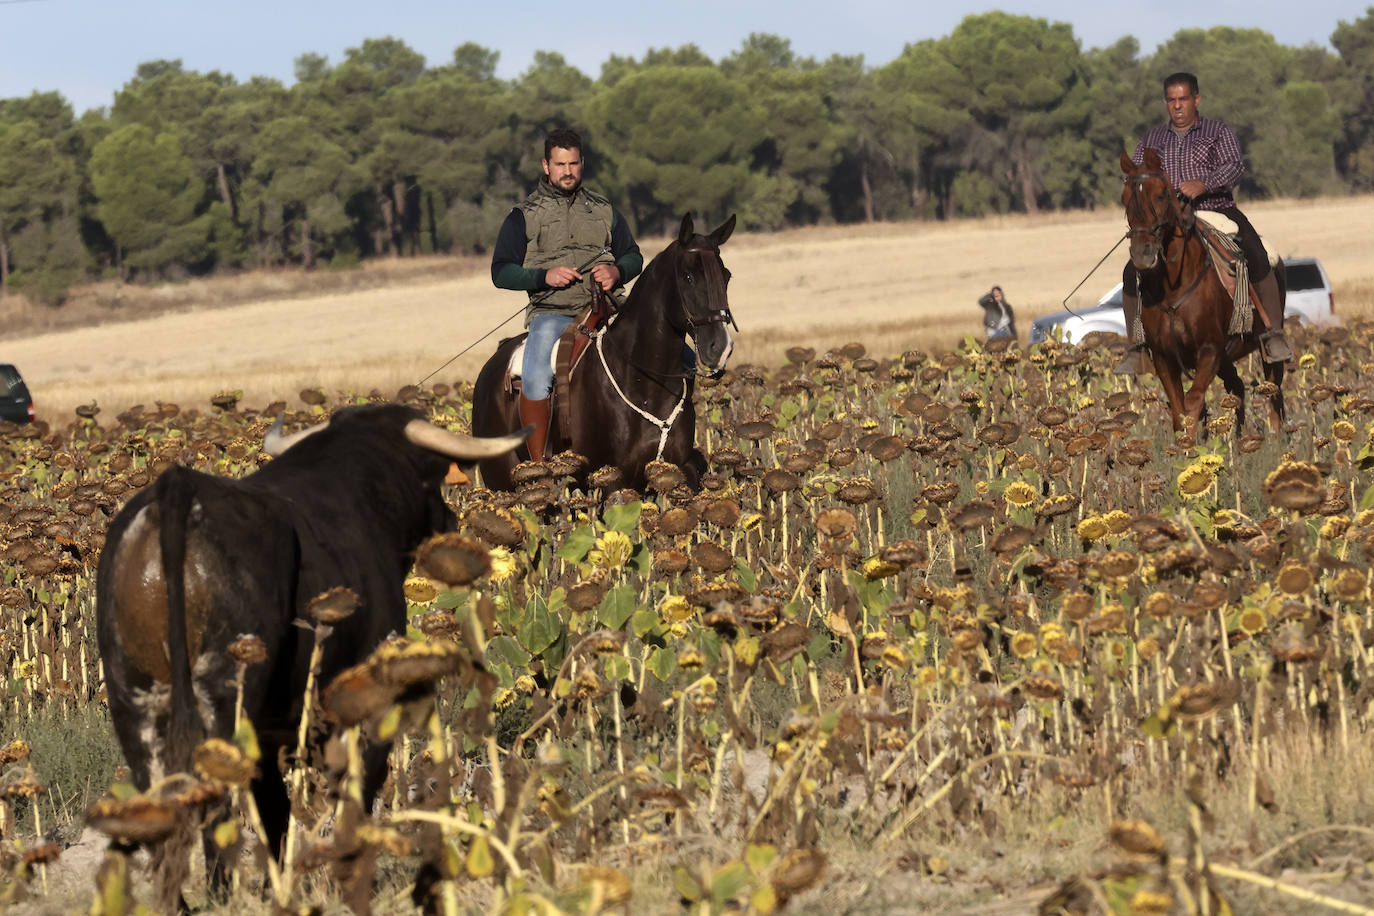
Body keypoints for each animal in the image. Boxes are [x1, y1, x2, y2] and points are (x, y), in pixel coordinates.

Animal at [469, 212, 736, 494]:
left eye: (726, 276)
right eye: (687, 277)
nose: (721, 346)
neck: (643, 382)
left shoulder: (675, 469)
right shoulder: (610, 479)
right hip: (500, 481)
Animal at [1121, 150, 1280, 433]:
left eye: (1160, 194)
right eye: (1124, 199)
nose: (1142, 254)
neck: (1174, 287)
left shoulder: (1209, 350)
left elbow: (1193, 401)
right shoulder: (1164, 357)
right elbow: (1178, 410)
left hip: (1266, 349)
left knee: (1274, 392)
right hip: (1226, 359)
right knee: (1237, 387)